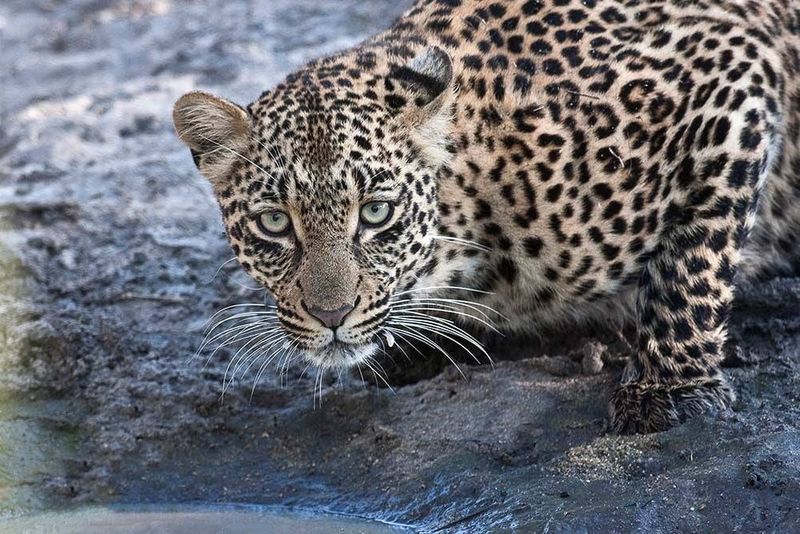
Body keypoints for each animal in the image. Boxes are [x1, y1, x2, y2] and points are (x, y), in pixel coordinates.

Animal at [172, 0, 800, 434]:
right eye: (275, 223)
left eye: (376, 213)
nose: (331, 316)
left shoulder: (729, 72)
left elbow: (691, 264)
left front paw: (669, 388)